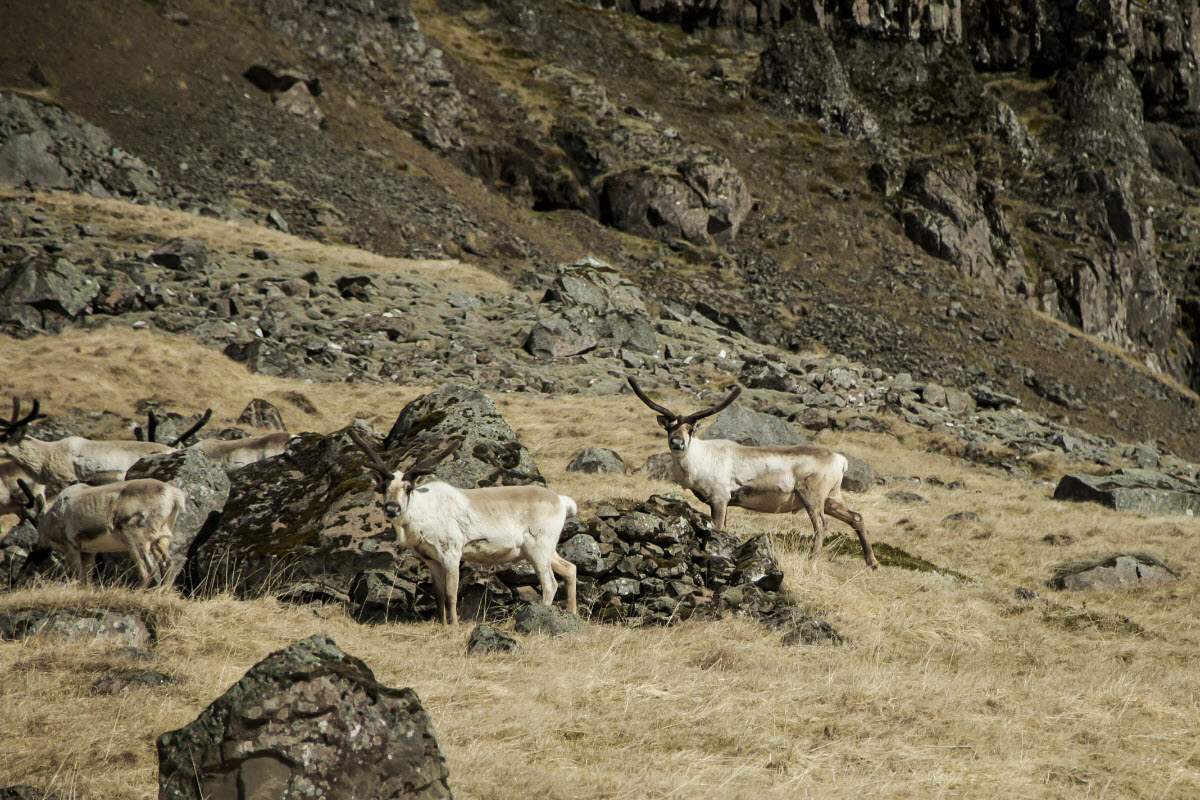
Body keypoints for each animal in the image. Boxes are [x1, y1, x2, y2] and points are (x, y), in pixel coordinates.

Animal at [16, 476, 186, 589]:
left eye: (36, 521)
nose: (38, 551)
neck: (54, 513)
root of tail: (173, 495)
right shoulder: (88, 551)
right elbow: (86, 579)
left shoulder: (72, 545)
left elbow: (77, 575)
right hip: (161, 539)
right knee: (167, 563)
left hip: (135, 538)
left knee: (148, 570)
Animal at [348, 429, 579, 625]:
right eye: (385, 486)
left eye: (408, 487)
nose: (392, 508)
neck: (422, 515)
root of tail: (562, 501)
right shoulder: (431, 558)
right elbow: (439, 594)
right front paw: (441, 624)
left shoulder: (452, 553)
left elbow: (451, 594)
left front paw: (455, 627)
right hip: (544, 549)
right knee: (569, 568)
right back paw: (572, 613)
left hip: (538, 548)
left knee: (550, 583)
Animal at [627, 377, 878, 569]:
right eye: (669, 427)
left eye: (690, 429)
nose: (677, 443)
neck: (700, 460)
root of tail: (841, 460)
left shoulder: (720, 497)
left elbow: (718, 529)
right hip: (832, 496)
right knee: (857, 517)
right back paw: (872, 562)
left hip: (813, 495)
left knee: (822, 527)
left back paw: (811, 564)